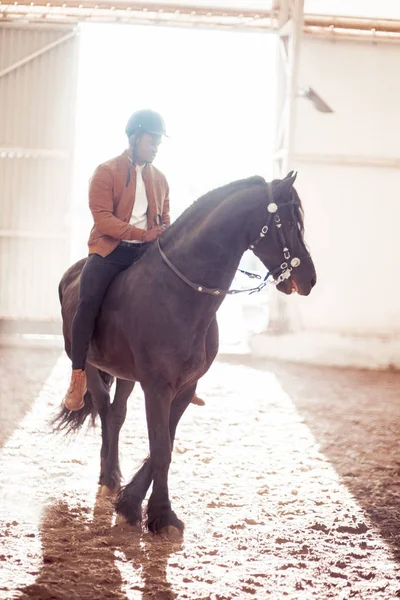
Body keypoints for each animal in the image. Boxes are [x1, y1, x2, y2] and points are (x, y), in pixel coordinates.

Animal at [54, 172, 316, 536]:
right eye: (289, 222)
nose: (309, 279)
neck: (178, 294)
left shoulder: (183, 387)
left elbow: (165, 444)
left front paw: (133, 503)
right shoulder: (157, 388)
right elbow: (161, 450)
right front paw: (159, 515)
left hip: (125, 375)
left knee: (116, 415)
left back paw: (115, 478)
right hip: (91, 365)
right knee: (104, 410)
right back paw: (107, 477)